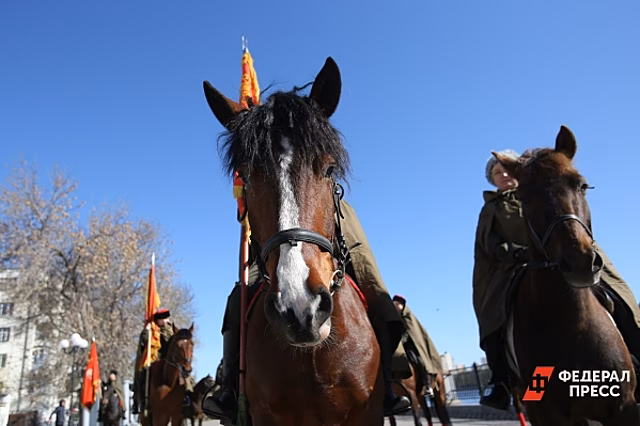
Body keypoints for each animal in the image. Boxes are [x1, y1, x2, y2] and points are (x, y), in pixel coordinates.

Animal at [493, 126, 639, 425]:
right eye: (523, 196)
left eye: (581, 185)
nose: (581, 262)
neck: (571, 323)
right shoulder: (547, 414)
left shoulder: (625, 408)